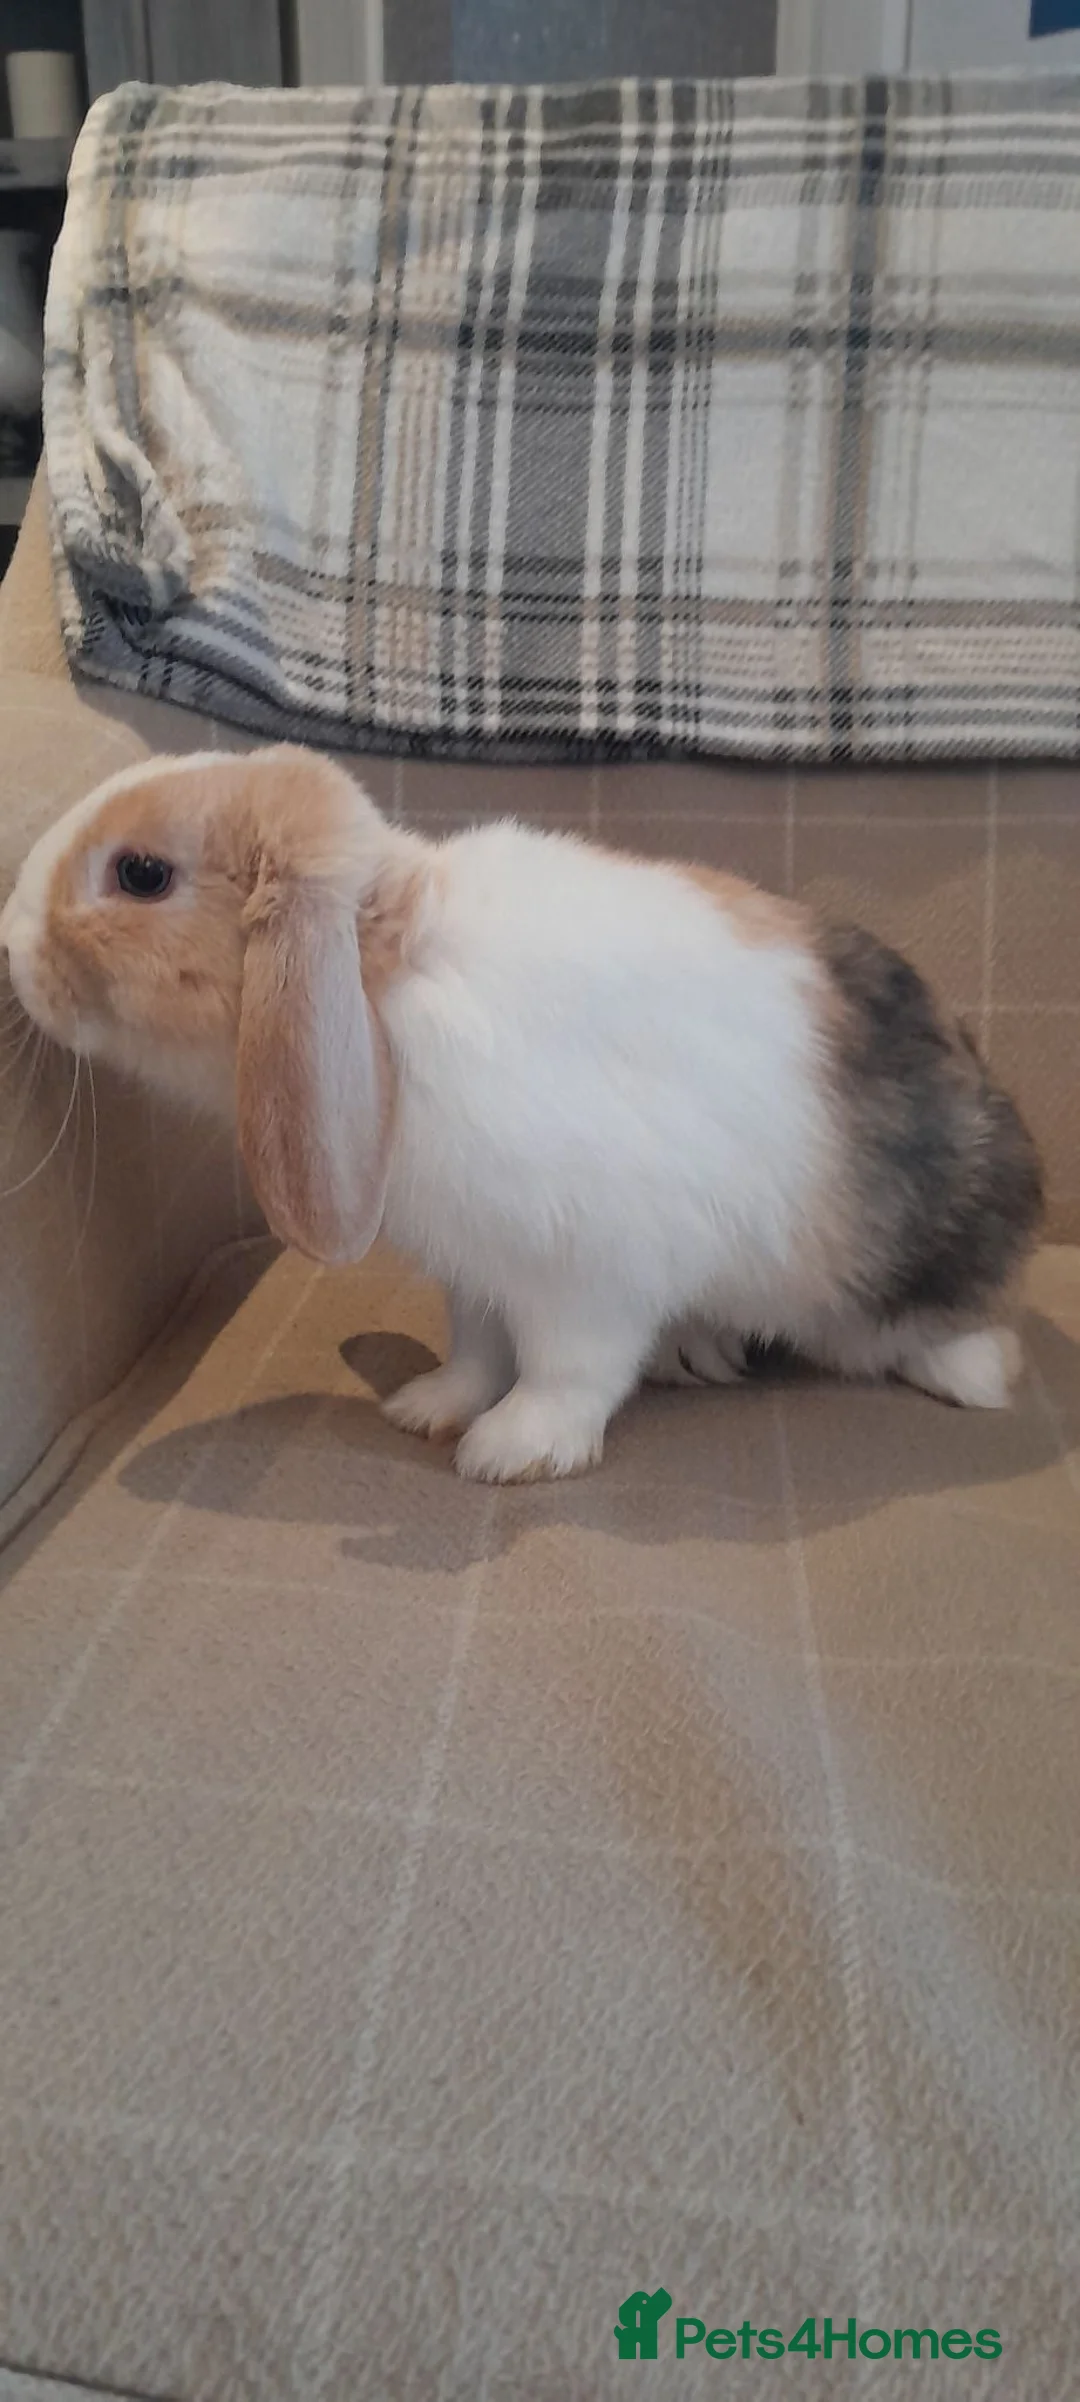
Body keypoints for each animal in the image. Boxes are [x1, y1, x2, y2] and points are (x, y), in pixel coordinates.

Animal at [0, 745, 1043, 1483]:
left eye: (140, 874)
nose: (9, 941)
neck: (386, 989)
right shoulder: (477, 1267)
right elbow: (478, 1349)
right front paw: (428, 1407)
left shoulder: (588, 1271)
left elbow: (566, 1369)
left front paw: (513, 1451)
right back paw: (698, 1351)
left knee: (928, 1327)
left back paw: (976, 1375)